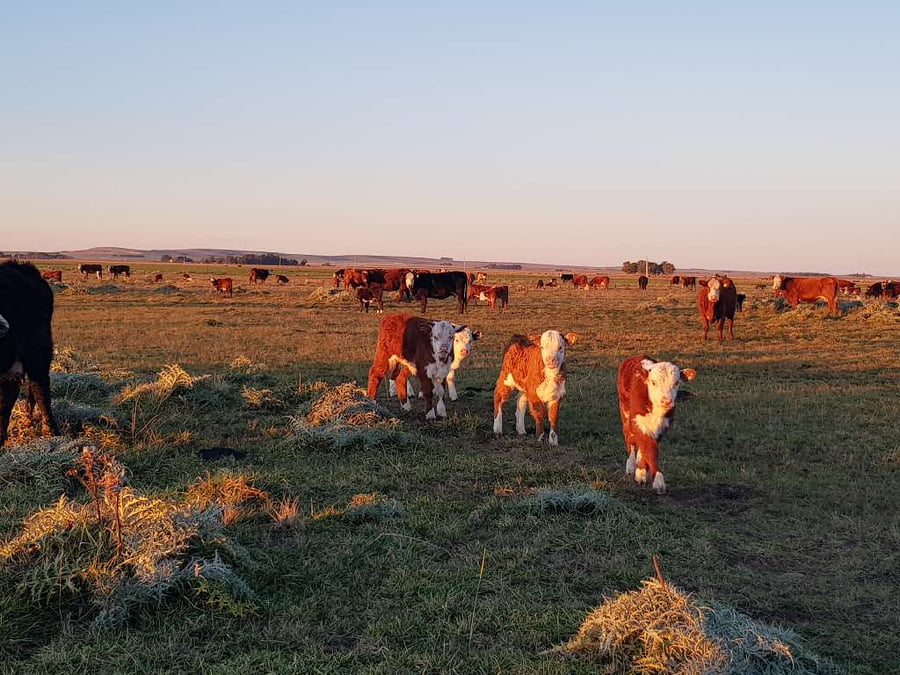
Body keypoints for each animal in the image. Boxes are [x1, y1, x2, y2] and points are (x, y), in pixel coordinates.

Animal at [617, 355, 697, 493]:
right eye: (653, 382)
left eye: (676, 382)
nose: (666, 401)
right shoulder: (638, 421)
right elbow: (650, 448)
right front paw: (658, 481)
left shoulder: (663, 426)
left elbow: (648, 447)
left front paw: (641, 472)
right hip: (625, 410)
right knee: (629, 437)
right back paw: (631, 465)